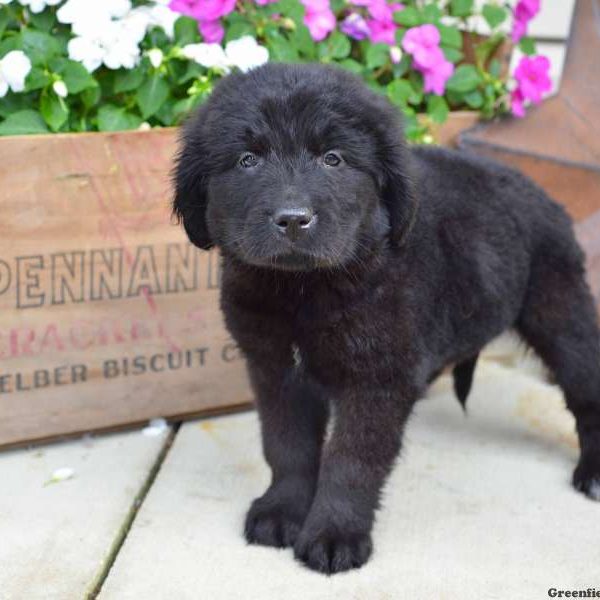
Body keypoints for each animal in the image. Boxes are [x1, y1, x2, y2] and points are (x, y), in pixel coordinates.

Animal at [173, 63, 600, 576]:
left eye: (333, 159)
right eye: (247, 160)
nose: (293, 219)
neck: (304, 292)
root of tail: (543, 194)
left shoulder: (379, 380)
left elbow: (352, 459)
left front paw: (334, 533)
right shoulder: (275, 370)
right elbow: (287, 445)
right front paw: (283, 511)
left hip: (562, 315)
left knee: (588, 391)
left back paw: (594, 473)